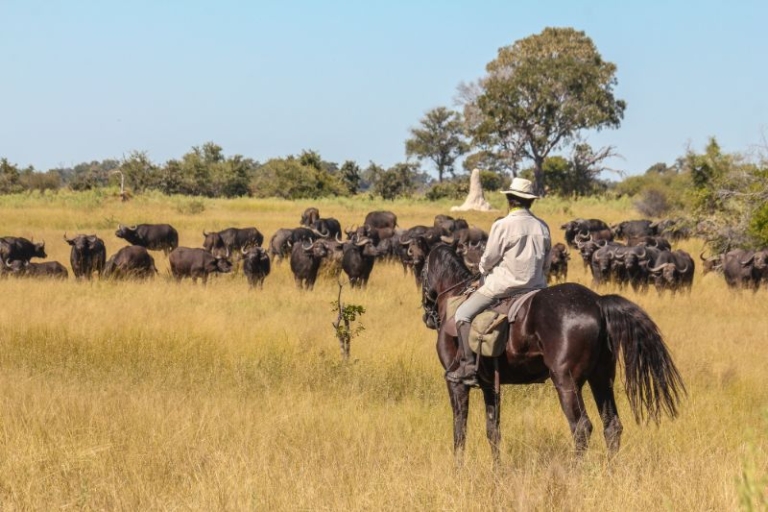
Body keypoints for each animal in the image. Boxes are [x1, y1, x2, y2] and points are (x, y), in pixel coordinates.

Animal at [421, 244, 685, 464]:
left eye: (422, 273)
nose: (427, 316)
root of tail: (598, 302)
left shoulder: (456, 384)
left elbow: (459, 427)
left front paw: (458, 467)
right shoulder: (490, 385)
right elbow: (492, 429)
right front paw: (497, 468)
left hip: (566, 382)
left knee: (581, 427)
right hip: (601, 379)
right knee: (612, 425)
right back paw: (610, 470)